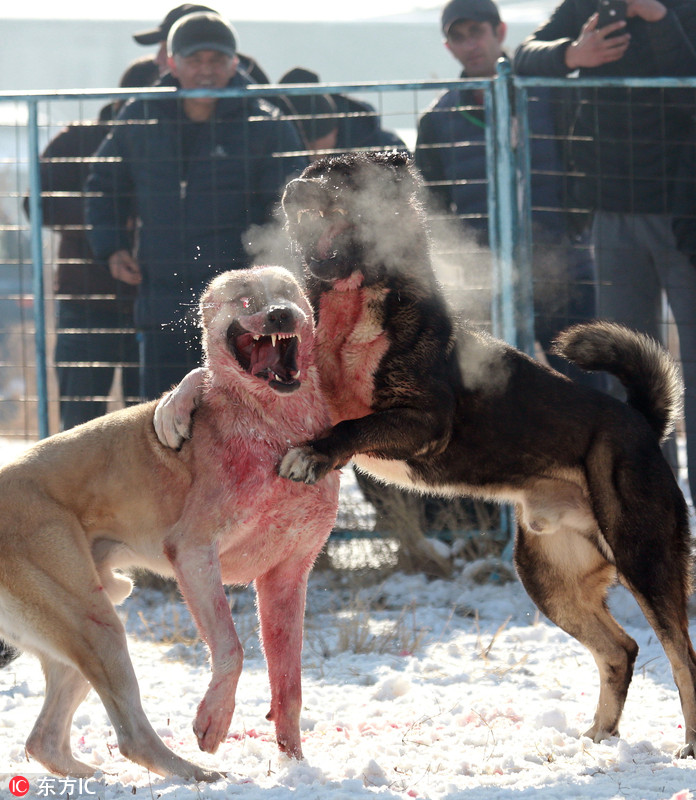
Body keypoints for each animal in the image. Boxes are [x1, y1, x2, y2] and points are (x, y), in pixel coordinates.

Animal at [0, 268, 338, 780]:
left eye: (287, 294)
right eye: (245, 299)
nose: (281, 314)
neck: (275, 426)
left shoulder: (286, 578)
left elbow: (289, 686)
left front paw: (295, 768)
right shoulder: (194, 553)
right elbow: (231, 648)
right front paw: (214, 720)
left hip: (85, 624)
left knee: (44, 741)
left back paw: (96, 778)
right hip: (96, 624)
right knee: (131, 737)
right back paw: (195, 775)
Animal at [158, 153, 696, 760]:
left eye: (341, 175)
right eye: (311, 169)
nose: (293, 186)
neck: (351, 312)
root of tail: (643, 424)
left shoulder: (423, 421)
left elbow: (352, 424)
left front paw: (310, 455)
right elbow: (208, 377)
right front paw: (174, 410)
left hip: (644, 557)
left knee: (682, 658)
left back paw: (686, 742)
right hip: (549, 577)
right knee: (620, 649)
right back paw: (597, 738)